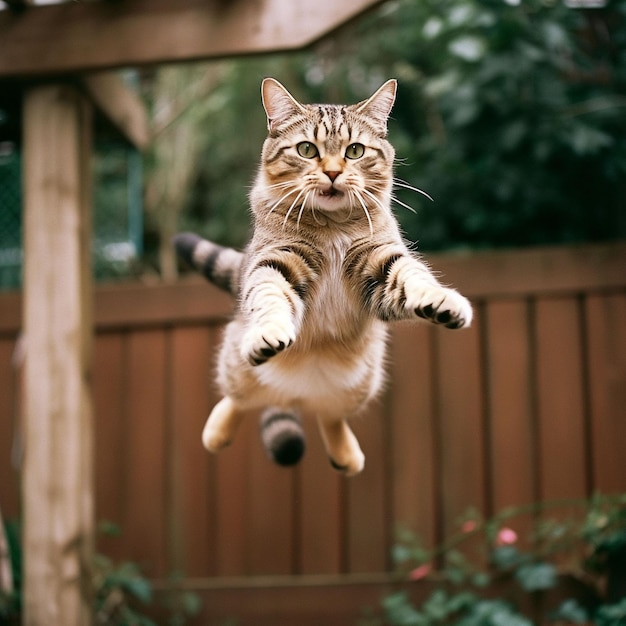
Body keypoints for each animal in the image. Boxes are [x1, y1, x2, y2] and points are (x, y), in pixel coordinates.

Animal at [173, 80, 470, 476]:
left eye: (355, 151)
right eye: (306, 149)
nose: (331, 172)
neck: (332, 227)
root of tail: (297, 397)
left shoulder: (380, 261)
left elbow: (413, 276)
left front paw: (441, 299)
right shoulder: (274, 261)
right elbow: (269, 297)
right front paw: (269, 330)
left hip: (361, 383)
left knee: (330, 416)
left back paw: (347, 456)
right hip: (235, 362)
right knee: (238, 398)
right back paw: (216, 433)